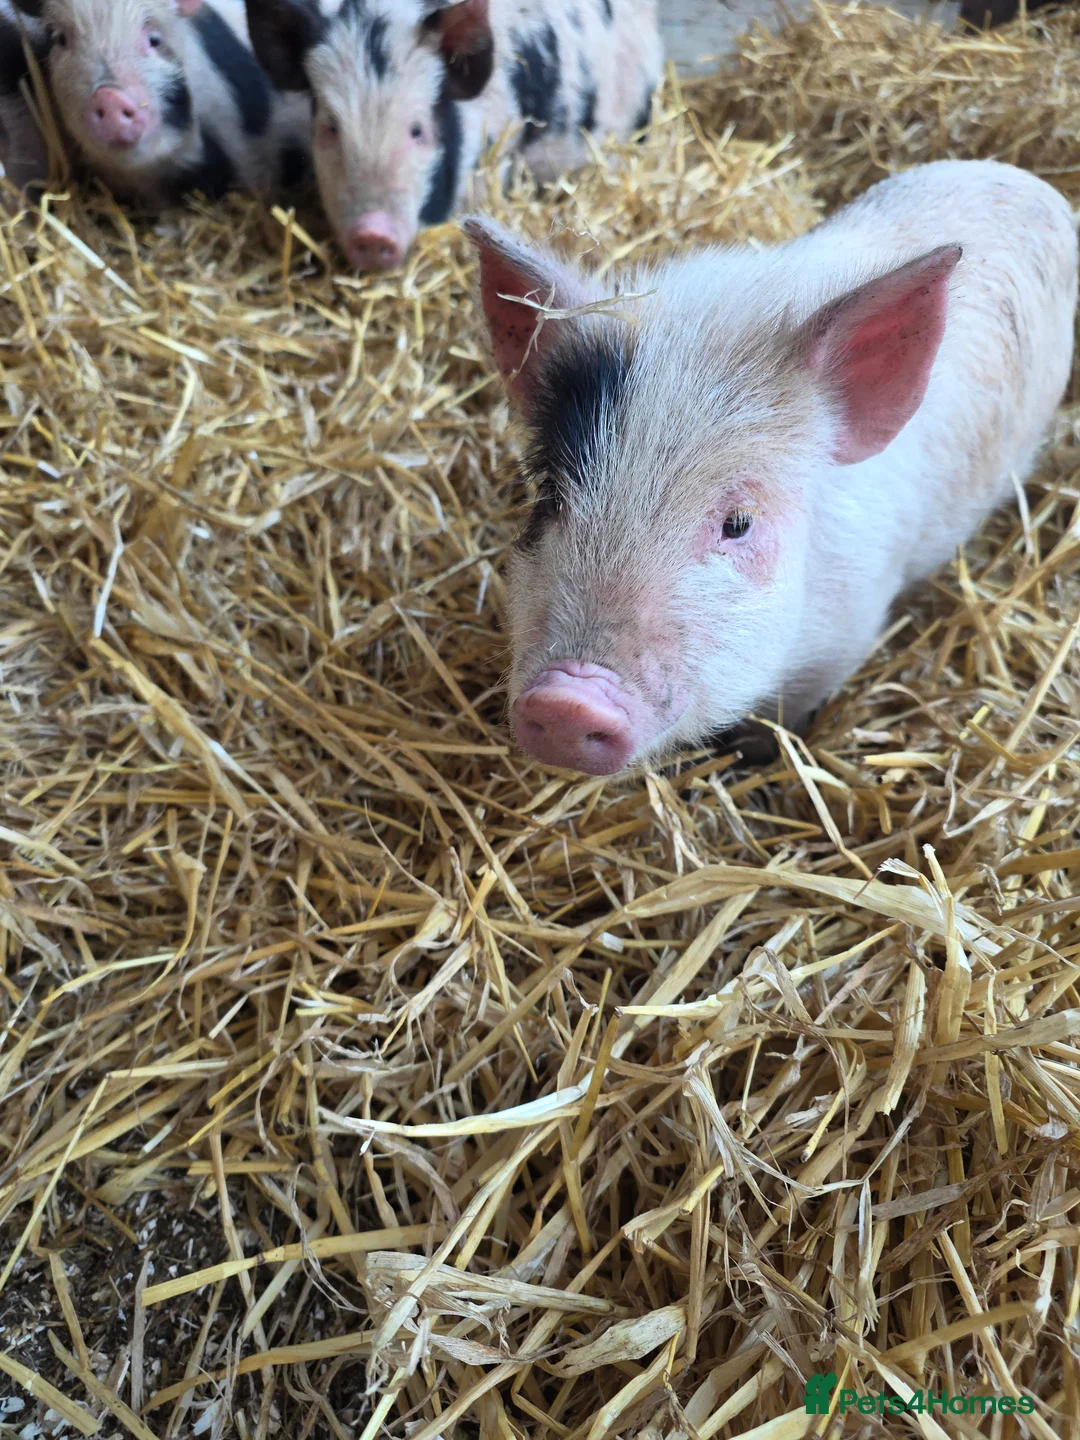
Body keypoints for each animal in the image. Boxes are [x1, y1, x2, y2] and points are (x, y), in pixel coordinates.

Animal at [464, 159, 1077, 776]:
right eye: (551, 495)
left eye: (739, 522)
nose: (567, 700)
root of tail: (1024, 179)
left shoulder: (846, 634)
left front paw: (752, 759)